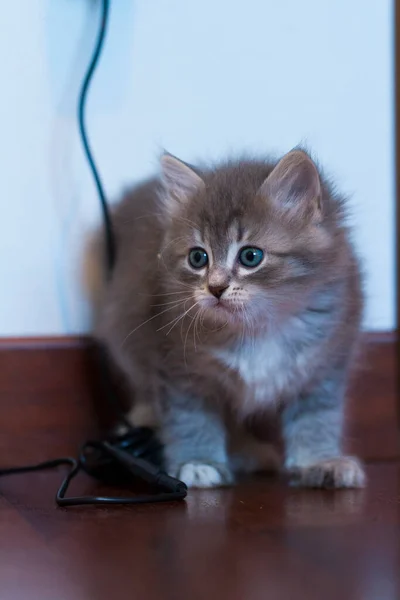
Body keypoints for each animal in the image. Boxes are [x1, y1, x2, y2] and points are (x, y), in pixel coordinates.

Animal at [87, 149, 366, 488]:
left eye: (250, 256)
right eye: (198, 258)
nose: (216, 288)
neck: (256, 327)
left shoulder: (325, 363)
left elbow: (317, 418)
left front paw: (320, 461)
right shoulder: (177, 368)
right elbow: (190, 419)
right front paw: (198, 462)